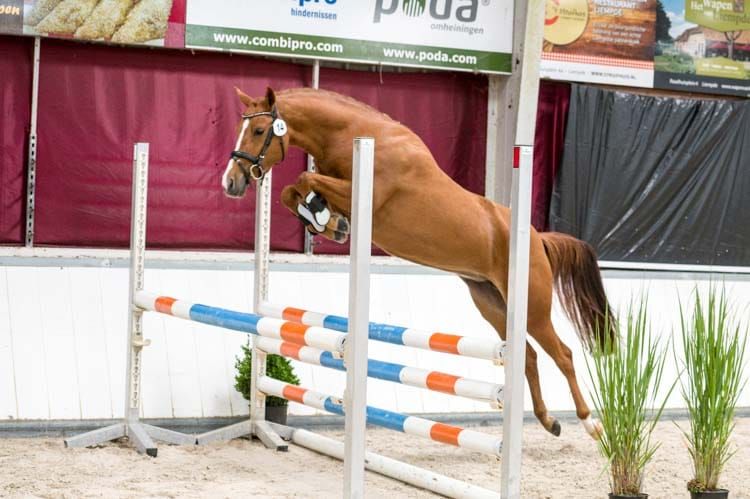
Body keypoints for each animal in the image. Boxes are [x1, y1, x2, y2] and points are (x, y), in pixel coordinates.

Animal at [222, 86, 615, 439]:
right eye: (241, 127)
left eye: (259, 130)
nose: (231, 182)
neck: (354, 133)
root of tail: (536, 238)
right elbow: (293, 191)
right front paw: (328, 223)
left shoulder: (362, 193)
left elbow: (304, 179)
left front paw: (325, 220)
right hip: (491, 302)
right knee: (528, 355)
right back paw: (548, 420)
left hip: (533, 307)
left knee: (562, 354)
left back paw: (589, 423)